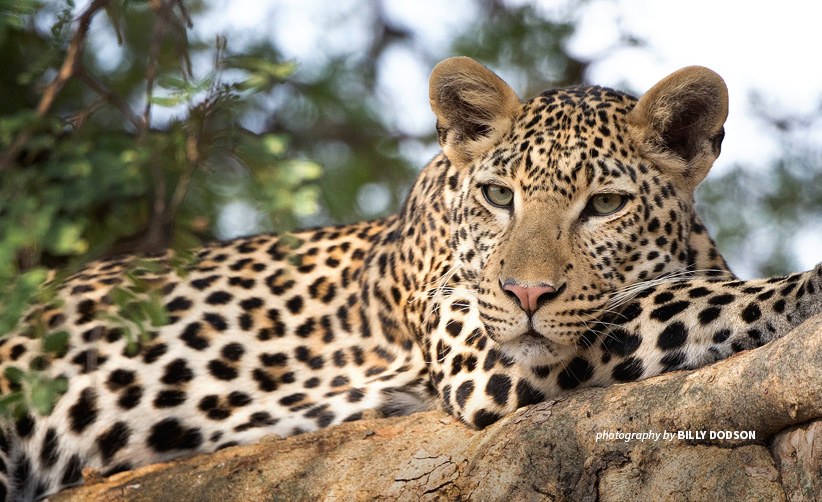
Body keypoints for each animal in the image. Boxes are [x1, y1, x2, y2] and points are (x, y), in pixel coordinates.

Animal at [1, 56, 822, 502]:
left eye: (606, 205)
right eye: (499, 196)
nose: (527, 295)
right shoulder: (482, 350)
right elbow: (685, 302)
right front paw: (803, 289)